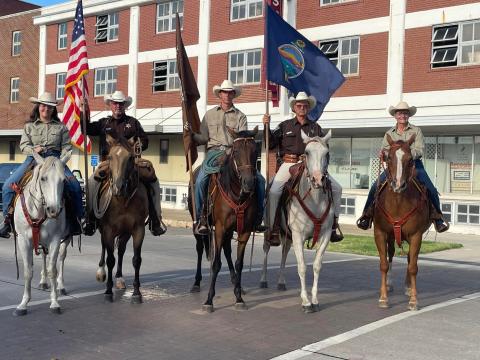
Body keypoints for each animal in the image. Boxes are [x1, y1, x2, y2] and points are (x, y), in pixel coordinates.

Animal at [13, 150, 71, 314]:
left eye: (63, 180)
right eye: (43, 178)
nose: (54, 210)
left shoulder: (56, 239)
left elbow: (53, 269)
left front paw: (54, 302)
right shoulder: (23, 240)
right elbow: (28, 271)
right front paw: (23, 304)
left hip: (66, 239)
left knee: (61, 259)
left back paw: (61, 286)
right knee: (44, 257)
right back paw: (43, 281)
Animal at [93, 134, 147, 302]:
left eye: (130, 157)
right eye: (110, 157)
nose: (118, 187)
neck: (122, 200)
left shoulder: (138, 230)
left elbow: (136, 259)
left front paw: (136, 292)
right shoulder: (108, 230)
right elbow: (110, 259)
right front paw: (108, 291)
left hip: (125, 233)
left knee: (121, 250)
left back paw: (119, 278)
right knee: (104, 248)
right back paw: (101, 272)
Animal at [198, 127, 258, 312]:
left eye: (255, 151)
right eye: (236, 152)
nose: (249, 183)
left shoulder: (244, 231)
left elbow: (239, 263)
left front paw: (238, 297)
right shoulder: (220, 228)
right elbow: (216, 263)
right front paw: (209, 300)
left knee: (227, 250)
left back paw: (235, 283)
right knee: (200, 250)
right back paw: (196, 283)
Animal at [260, 131, 336, 314]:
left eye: (326, 153)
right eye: (307, 152)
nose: (318, 179)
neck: (315, 199)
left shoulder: (325, 235)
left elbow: (316, 265)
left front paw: (314, 300)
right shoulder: (298, 235)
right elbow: (302, 267)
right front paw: (306, 302)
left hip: (288, 235)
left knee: (284, 252)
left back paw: (281, 282)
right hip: (270, 230)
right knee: (266, 249)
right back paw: (263, 279)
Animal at [374, 134, 430, 310]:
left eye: (411, 159)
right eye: (388, 157)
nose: (398, 185)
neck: (398, 203)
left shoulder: (416, 235)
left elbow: (413, 267)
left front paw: (413, 300)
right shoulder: (380, 233)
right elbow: (383, 264)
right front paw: (383, 298)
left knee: (410, 259)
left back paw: (408, 287)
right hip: (391, 236)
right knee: (391, 254)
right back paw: (388, 284)